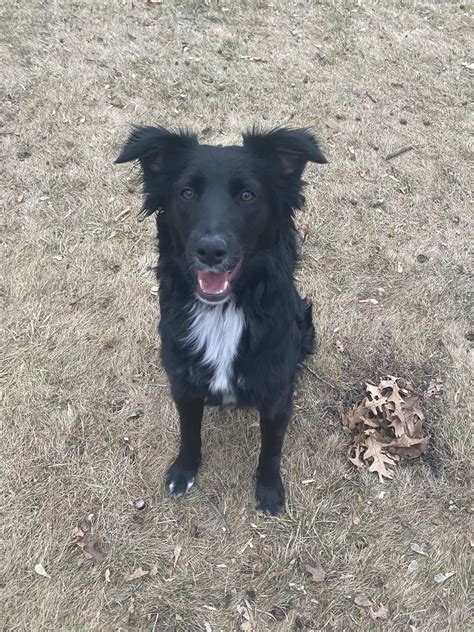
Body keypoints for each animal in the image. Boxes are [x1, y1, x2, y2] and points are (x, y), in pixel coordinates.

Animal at [116, 126, 328, 516]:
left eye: (247, 195)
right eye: (186, 193)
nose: (211, 251)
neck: (223, 311)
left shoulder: (275, 394)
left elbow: (271, 449)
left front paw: (269, 490)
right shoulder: (183, 384)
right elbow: (189, 432)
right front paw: (183, 471)